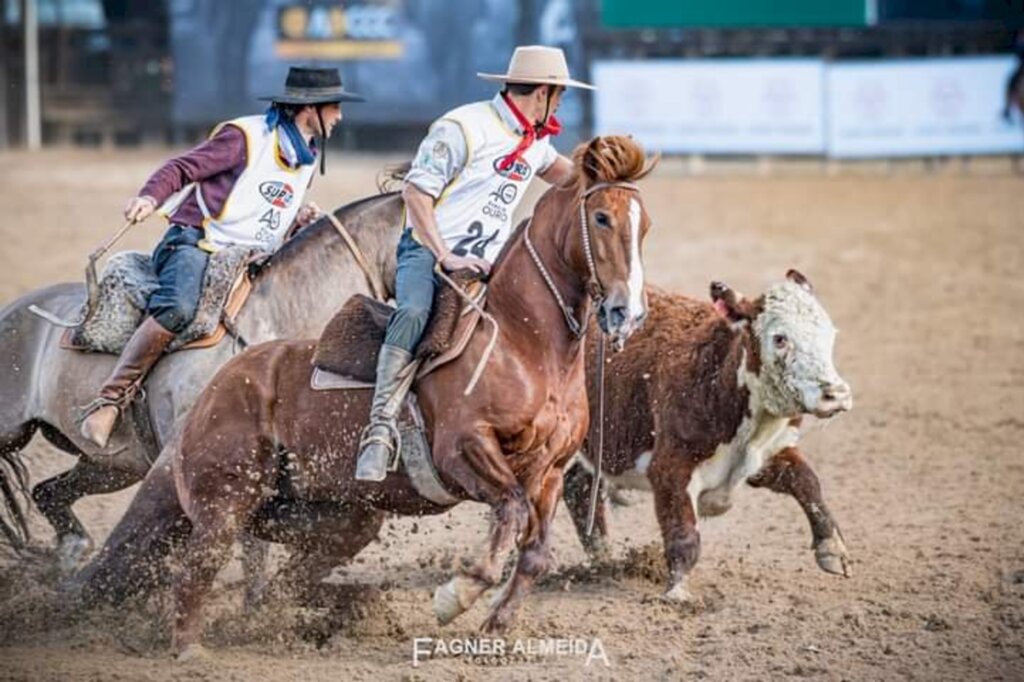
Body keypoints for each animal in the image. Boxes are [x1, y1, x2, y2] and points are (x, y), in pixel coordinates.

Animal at [77, 135, 655, 655]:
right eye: (601, 219)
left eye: (643, 225)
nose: (626, 312)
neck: (522, 343)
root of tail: (221, 380)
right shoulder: (463, 450)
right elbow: (509, 512)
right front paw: (456, 594)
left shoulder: (550, 471)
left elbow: (534, 554)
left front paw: (495, 626)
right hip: (225, 500)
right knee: (196, 570)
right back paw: (189, 648)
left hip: (334, 515)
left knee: (273, 574)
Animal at [565, 270, 851, 602]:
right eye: (780, 338)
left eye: (829, 334)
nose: (836, 394)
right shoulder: (670, 467)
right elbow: (684, 535)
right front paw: (677, 593)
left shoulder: (766, 454)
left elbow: (806, 481)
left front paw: (833, 549)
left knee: (579, 488)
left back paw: (604, 561)